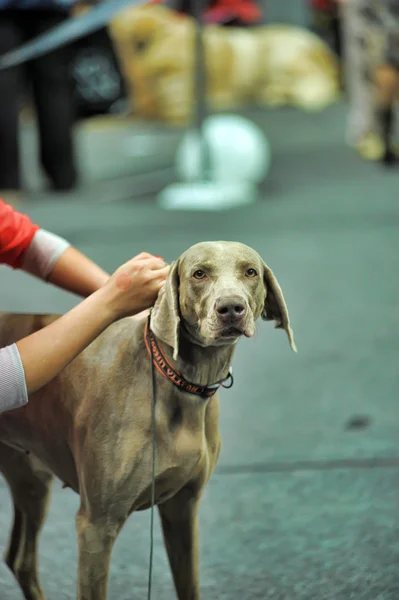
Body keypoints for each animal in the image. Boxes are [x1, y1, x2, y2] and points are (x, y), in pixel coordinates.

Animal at [0, 240, 294, 600]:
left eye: (250, 271)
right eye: (199, 273)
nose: (231, 308)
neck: (181, 383)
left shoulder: (182, 508)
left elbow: (189, 585)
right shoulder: (97, 525)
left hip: (31, 479)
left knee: (19, 559)